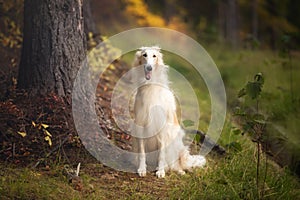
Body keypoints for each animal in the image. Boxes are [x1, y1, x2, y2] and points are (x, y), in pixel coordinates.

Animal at [131, 46, 206, 177]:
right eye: (144, 55)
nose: (149, 67)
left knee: (176, 163)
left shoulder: (162, 127)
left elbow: (162, 154)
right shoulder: (140, 123)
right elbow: (142, 152)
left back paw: (177, 170)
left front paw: (160, 171)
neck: (150, 86)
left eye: (154, 56)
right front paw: (142, 169)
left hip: (175, 143)